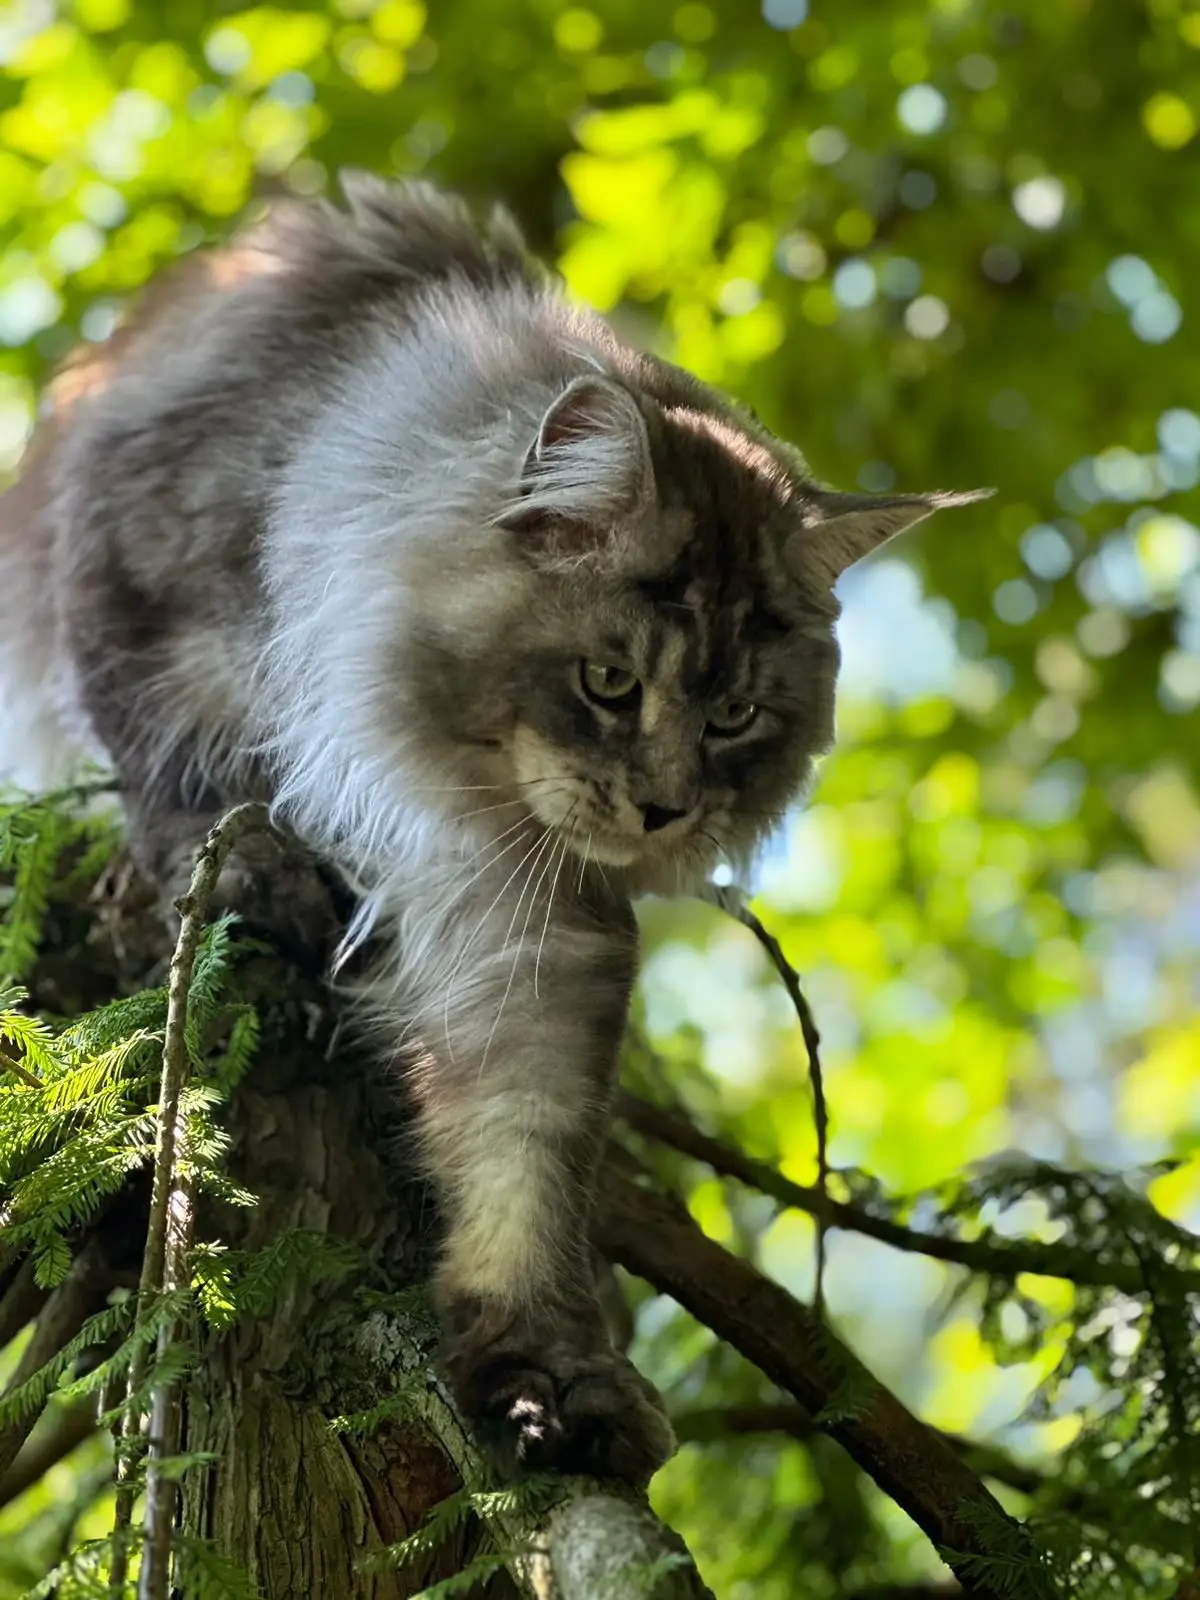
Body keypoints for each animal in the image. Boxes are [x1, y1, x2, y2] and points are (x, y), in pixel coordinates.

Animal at [0, 168, 998, 1478]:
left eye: (734, 716)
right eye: (610, 682)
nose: (663, 806)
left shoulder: (530, 918)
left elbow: (522, 1156)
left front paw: (549, 1376)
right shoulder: (136, 582)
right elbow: (183, 775)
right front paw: (252, 877)